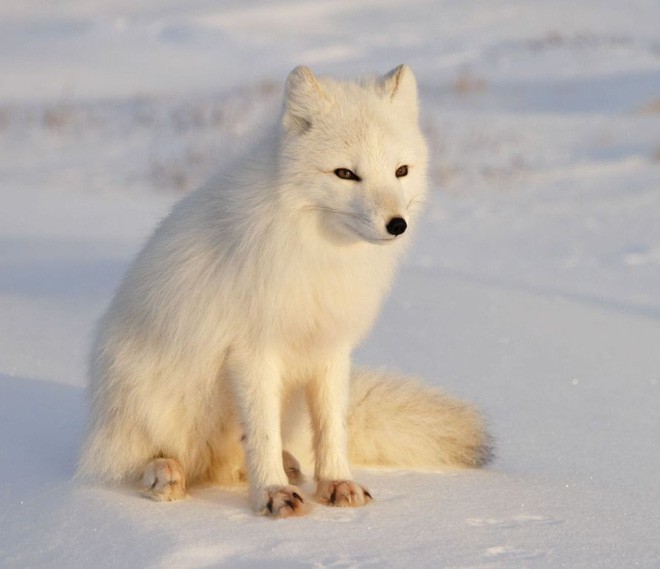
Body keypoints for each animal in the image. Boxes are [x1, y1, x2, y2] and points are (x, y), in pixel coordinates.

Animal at [76, 64, 490, 516]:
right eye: (346, 174)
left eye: (401, 171)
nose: (397, 224)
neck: (318, 252)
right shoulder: (253, 351)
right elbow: (262, 434)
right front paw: (272, 492)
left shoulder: (330, 347)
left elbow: (331, 428)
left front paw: (336, 482)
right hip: (148, 398)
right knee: (133, 463)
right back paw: (165, 473)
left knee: (234, 461)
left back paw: (287, 467)